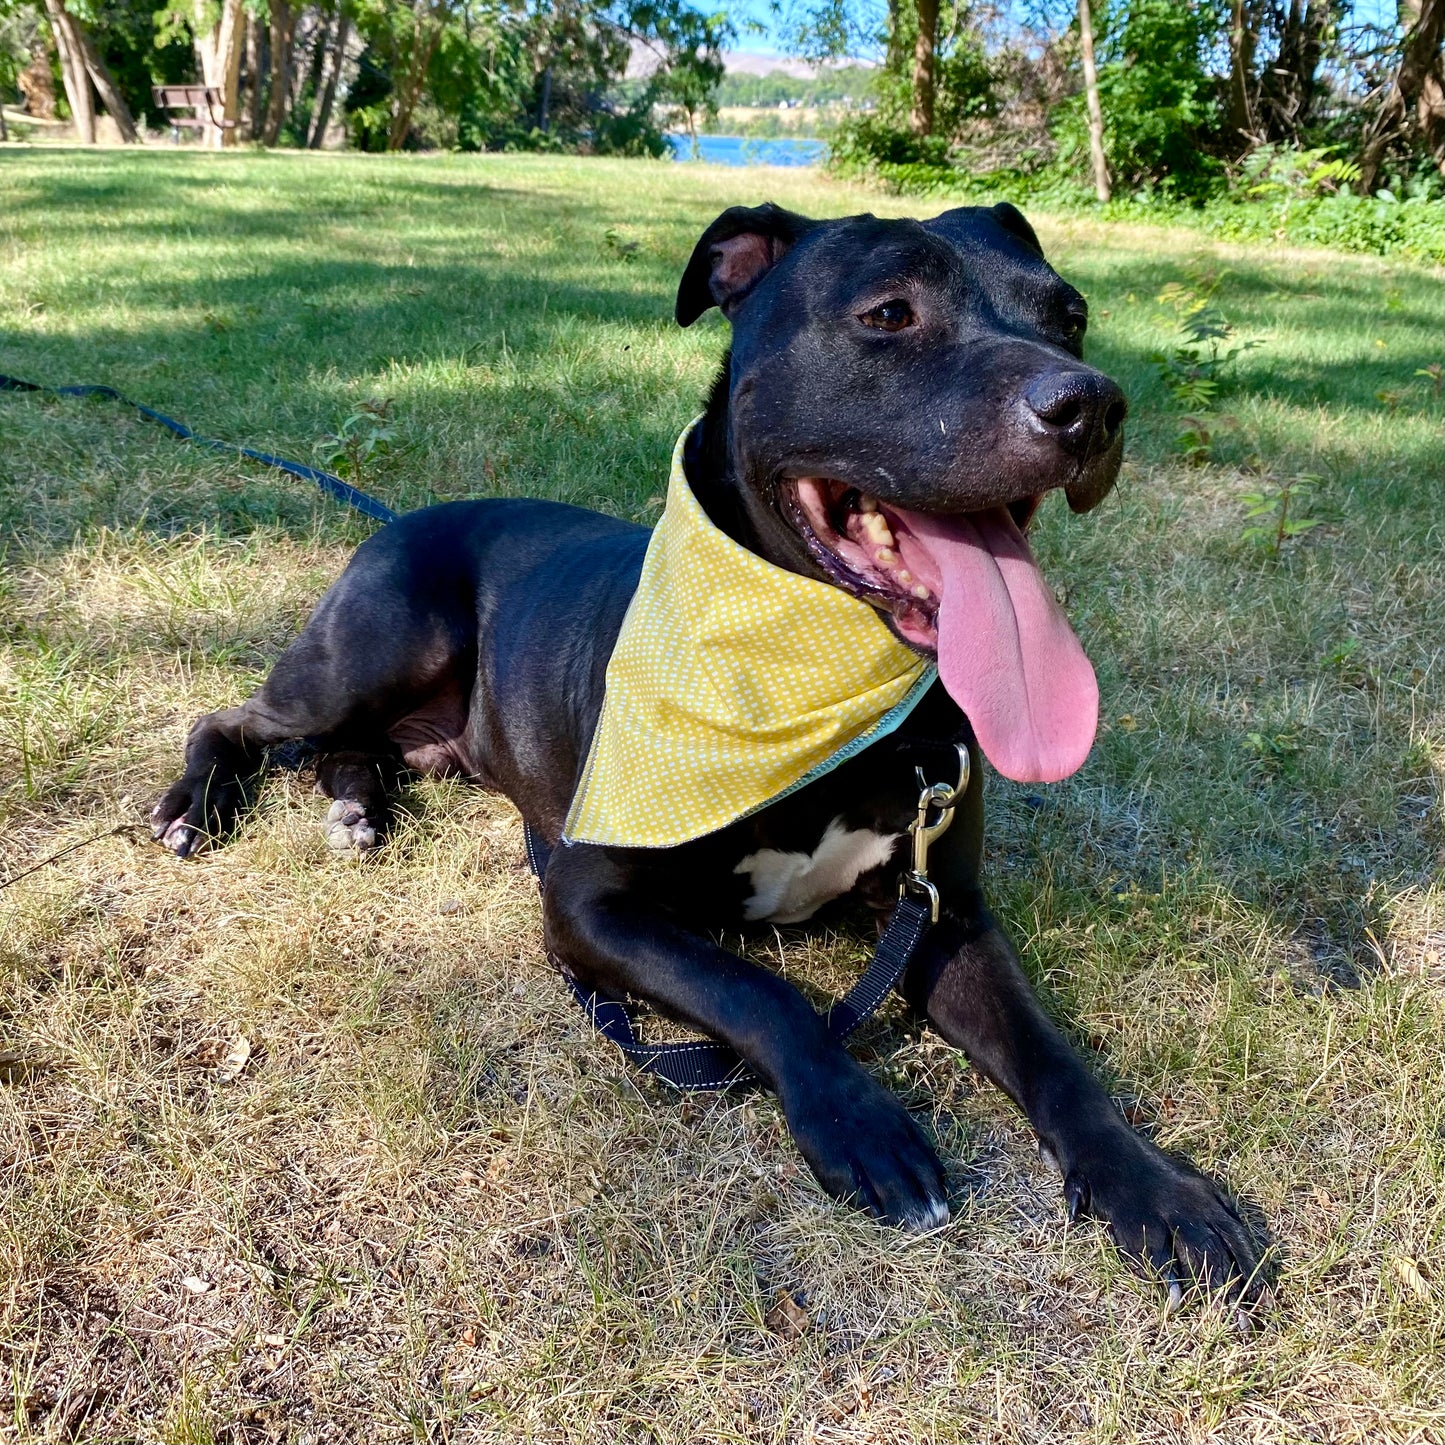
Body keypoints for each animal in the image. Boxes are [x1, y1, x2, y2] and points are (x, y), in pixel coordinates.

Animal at [158, 206, 1260, 1312]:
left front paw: (1154, 1187)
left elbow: (1052, 1055)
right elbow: (758, 990)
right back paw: (193, 806)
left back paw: (356, 809)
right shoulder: (586, 901)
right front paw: (860, 1123)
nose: (1088, 405)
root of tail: (402, 514)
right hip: (377, 645)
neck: (799, 671)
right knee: (236, 717)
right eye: (888, 314)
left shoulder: (944, 909)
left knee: (347, 750)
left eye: (1069, 315)